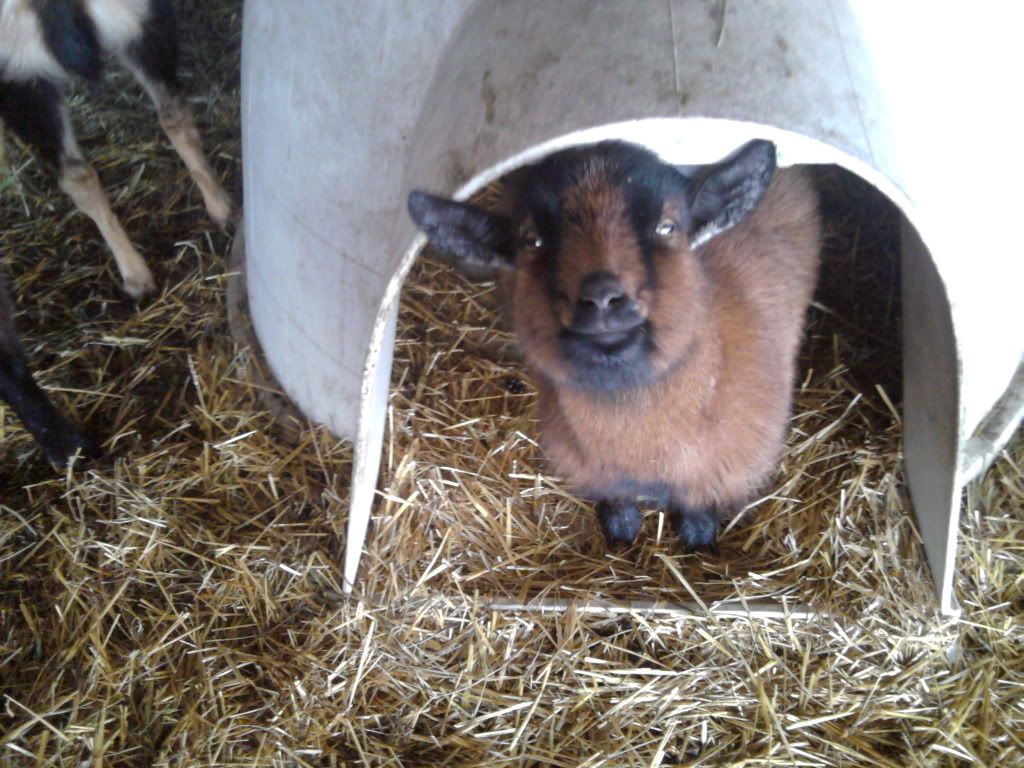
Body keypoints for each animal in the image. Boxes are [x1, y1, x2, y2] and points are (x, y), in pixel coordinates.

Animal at [407, 140, 821, 551]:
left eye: (668, 227)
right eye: (531, 241)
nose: (602, 297)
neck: (644, 457)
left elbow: (698, 507)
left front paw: (699, 536)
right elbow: (619, 508)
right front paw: (620, 531)